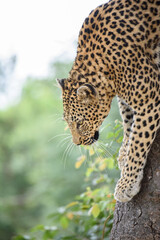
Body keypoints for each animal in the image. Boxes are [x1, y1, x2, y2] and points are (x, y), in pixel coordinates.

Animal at [57, 0, 160, 202]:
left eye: (79, 123)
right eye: (68, 122)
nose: (77, 143)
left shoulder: (150, 100)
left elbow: (138, 143)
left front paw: (126, 185)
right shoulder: (126, 100)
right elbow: (129, 125)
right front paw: (123, 155)